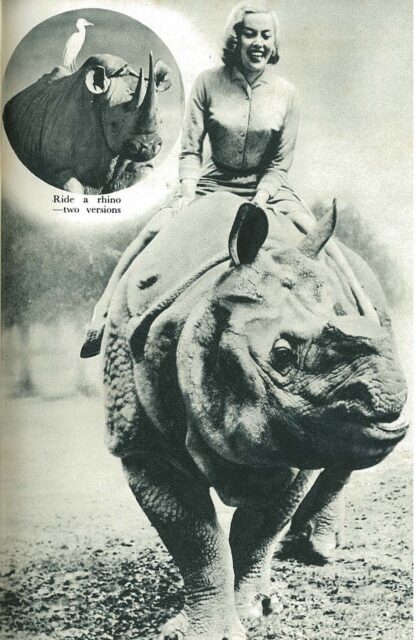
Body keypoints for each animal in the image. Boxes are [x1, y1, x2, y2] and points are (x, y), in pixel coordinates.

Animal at [2, 53, 172, 193]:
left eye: (161, 122)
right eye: (113, 125)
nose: (148, 147)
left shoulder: (139, 163)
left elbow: (139, 172)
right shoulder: (55, 169)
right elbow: (72, 187)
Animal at [102, 193, 408, 640]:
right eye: (280, 355)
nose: (390, 393)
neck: (201, 305)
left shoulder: (304, 433)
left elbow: (260, 525)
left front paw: (255, 610)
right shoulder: (140, 445)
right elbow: (194, 539)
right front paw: (204, 628)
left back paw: (316, 550)